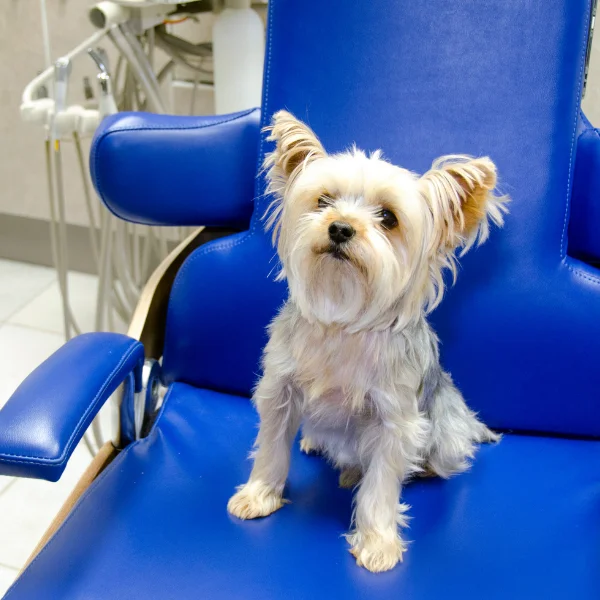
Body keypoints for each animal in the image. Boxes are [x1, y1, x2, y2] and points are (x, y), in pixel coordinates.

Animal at [227, 111, 508, 572]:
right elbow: (271, 449)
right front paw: (259, 494)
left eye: (389, 218)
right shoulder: (280, 391)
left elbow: (382, 485)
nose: (340, 227)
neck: (343, 320)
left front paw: (377, 542)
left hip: (444, 433)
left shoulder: (394, 420)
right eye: (323, 201)